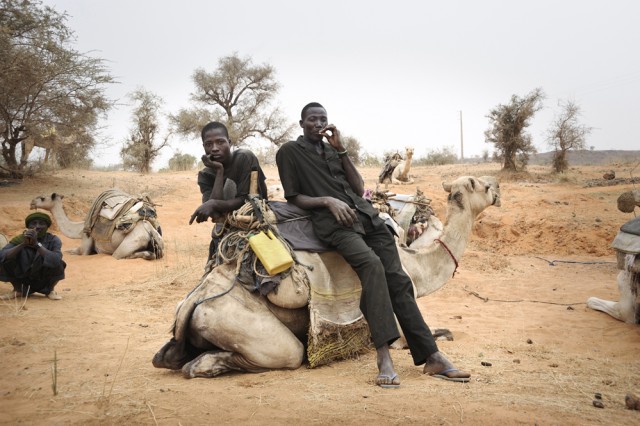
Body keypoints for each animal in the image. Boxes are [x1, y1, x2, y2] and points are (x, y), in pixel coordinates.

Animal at [31, 192, 164, 260]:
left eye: (42, 198)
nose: (32, 203)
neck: (79, 229)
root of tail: (151, 230)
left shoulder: (86, 241)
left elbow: (75, 252)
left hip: (130, 242)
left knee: (119, 255)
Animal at [154, 175, 500, 378]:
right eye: (482, 186)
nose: (497, 188)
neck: (416, 265)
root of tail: (197, 298)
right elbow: (426, 335)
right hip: (235, 321)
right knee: (287, 353)